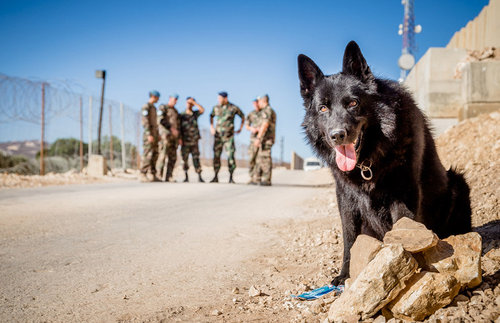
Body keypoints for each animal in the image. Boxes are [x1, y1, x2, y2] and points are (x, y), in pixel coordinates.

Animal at [298, 41, 470, 286]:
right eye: (323, 108)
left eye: (353, 103)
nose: (337, 135)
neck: (368, 161)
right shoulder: (346, 201)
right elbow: (350, 240)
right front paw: (345, 275)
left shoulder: (404, 195)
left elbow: (403, 229)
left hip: (458, 183)